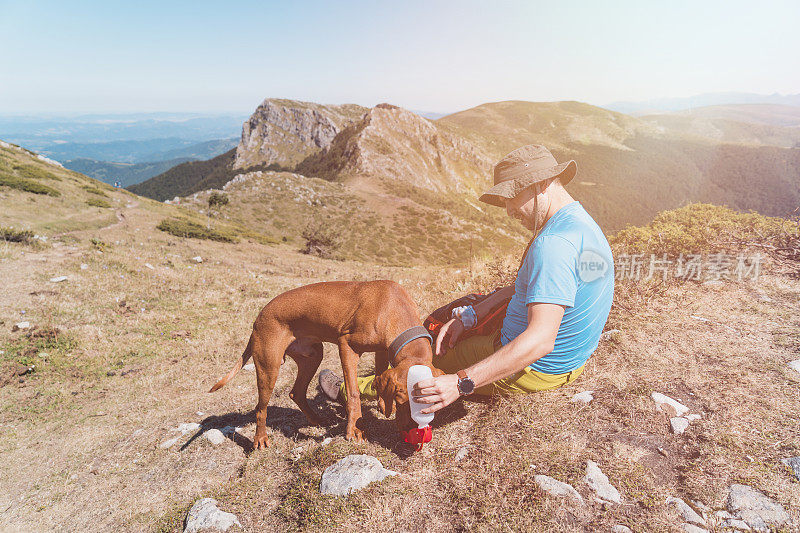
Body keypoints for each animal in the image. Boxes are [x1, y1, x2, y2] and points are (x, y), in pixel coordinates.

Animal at [208, 280, 438, 446]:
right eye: (401, 400)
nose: (412, 431)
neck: (393, 307)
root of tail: (258, 317)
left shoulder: (382, 350)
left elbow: (379, 376)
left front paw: (381, 405)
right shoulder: (346, 346)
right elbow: (353, 393)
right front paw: (354, 429)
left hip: (313, 356)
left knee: (296, 393)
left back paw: (317, 420)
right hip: (269, 367)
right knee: (260, 408)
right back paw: (260, 439)